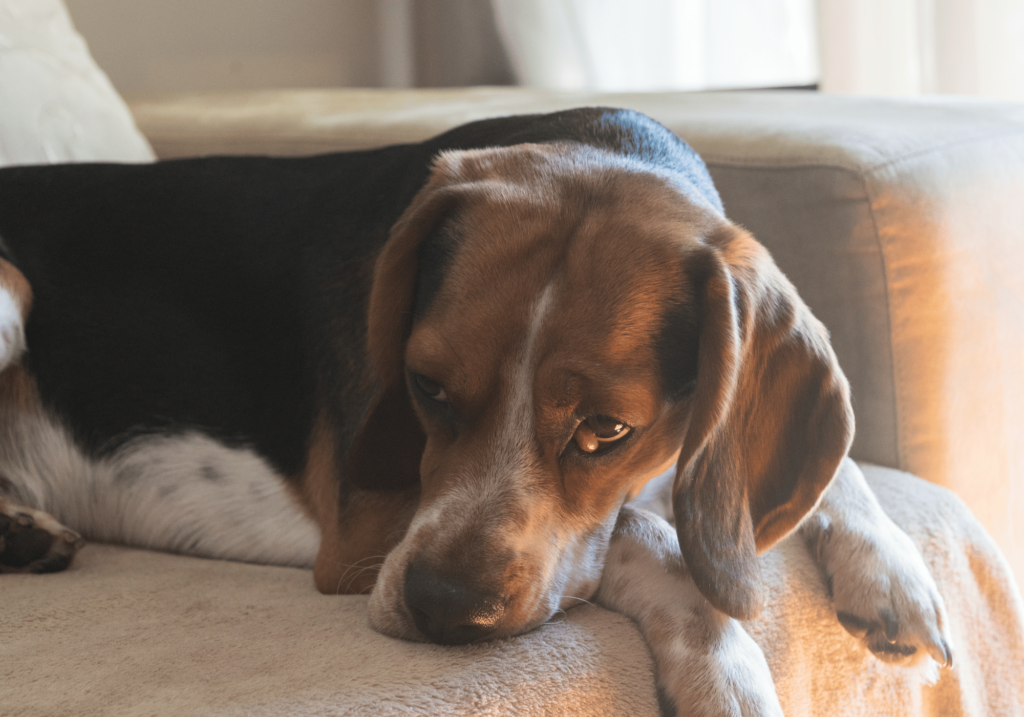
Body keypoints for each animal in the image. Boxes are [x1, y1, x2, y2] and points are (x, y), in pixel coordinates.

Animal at [0, 109, 950, 712]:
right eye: (425, 387)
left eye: (608, 430)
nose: (441, 607)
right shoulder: (361, 531)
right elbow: (647, 538)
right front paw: (726, 667)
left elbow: (824, 472)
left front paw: (890, 570)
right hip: (9, 290)